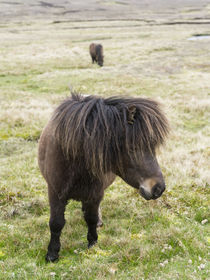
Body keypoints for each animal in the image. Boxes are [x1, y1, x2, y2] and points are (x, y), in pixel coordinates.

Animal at [38, 93, 169, 262]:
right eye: (133, 148)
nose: (159, 188)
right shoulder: (55, 193)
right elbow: (56, 223)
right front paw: (52, 254)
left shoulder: (95, 193)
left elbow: (91, 218)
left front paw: (92, 242)